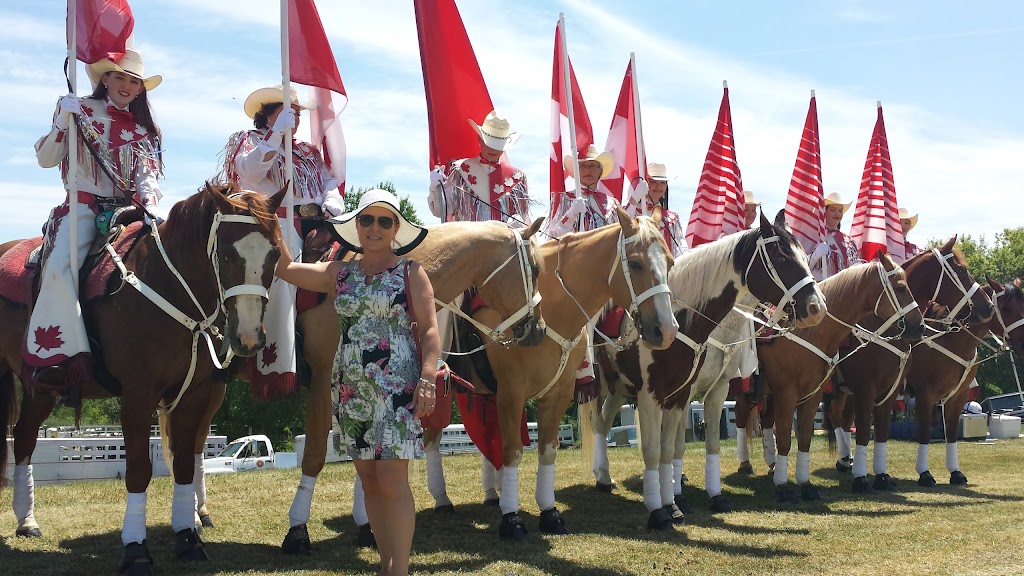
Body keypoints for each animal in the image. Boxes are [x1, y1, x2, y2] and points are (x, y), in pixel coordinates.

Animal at [0, 184, 282, 573]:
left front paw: (188, 537)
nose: (249, 338)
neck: (170, 287)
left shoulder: (194, 394)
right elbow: (137, 469)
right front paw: (135, 549)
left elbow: (184, 465)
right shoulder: (138, 395)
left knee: (25, 437)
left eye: (275, 253)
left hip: (39, 389)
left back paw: (27, 521)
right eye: (226, 254)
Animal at [423, 210, 679, 537]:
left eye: (670, 263)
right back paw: (442, 498)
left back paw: (492, 494)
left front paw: (548, 512)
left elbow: (547, 451)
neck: (550, 310)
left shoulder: (559, 393)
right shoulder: (512, 393)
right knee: (432, 438)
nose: (667, 330)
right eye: (635, 263)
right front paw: (511, 519)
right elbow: (512, 452)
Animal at [581, 208, 827, 528]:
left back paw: (606, 477)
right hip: (599, 385)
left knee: (606, 420)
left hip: (619, 388)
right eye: (783, 258)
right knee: (598, 423)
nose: (817, 308)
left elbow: (692, 446)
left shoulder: (697, 392)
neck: (684, 320)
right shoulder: (655, 394)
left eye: (805, 257)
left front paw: (693, 500)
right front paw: (660, 509)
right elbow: (658, 449)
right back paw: (603, 478)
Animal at [753, 253, 929, 500]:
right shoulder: (790, 393)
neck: (809, 332)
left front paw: (807, 485)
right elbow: (788, 437)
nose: (920, 326)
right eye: (901, 287)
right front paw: (783, 487)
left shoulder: (819, 394)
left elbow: (806, 436)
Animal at [819, 239, 995, 491]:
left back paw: (846, 460)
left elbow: (885, 432)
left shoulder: (900, 391)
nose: (988, 306)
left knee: (841, 419)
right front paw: (866, 479)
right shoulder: (888, 390)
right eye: (962, 271)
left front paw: (882, 476)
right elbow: (873, 431)